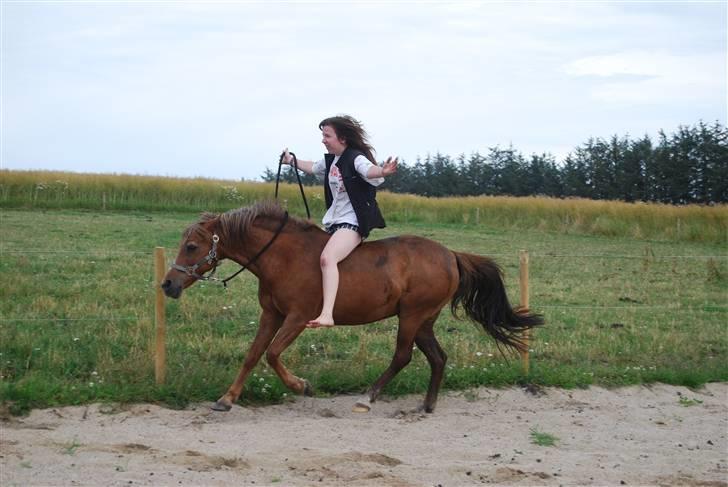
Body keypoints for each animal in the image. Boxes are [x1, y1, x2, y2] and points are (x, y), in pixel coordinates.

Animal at [164, 200, 540, 414]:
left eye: (192, 246)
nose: (167, 284)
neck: (282, 257)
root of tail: (451, 255)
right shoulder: (271, 315)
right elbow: (253, 355)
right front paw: (227, 399)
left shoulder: (297, 318)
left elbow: (272, 355)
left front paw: (301, 386)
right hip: (423, 321)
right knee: (437, 357)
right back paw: (427, 405)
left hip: (412, 317)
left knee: (402, 357)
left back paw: (368, 397)